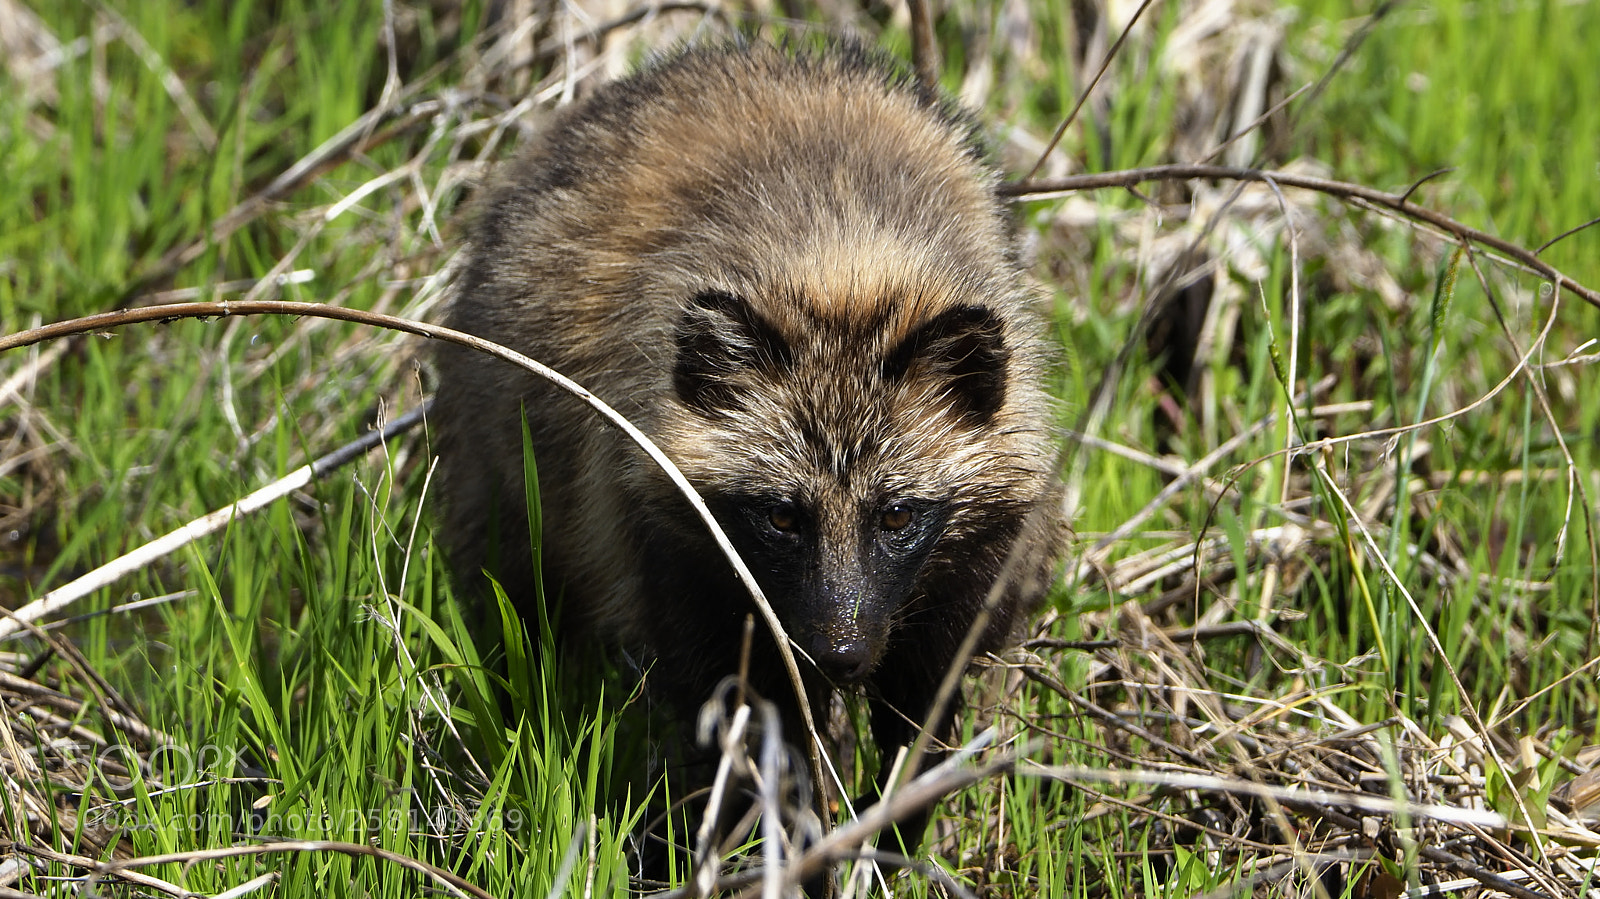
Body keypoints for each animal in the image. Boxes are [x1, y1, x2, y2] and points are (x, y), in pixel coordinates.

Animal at [433, 40, 1062, 827]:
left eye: (897, 515)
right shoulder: (675, 551)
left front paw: (892, 823)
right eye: (781, 517)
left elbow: (923, 725)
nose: (838, 656)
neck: (840, 255)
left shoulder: (968, 573)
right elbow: (741, 730)